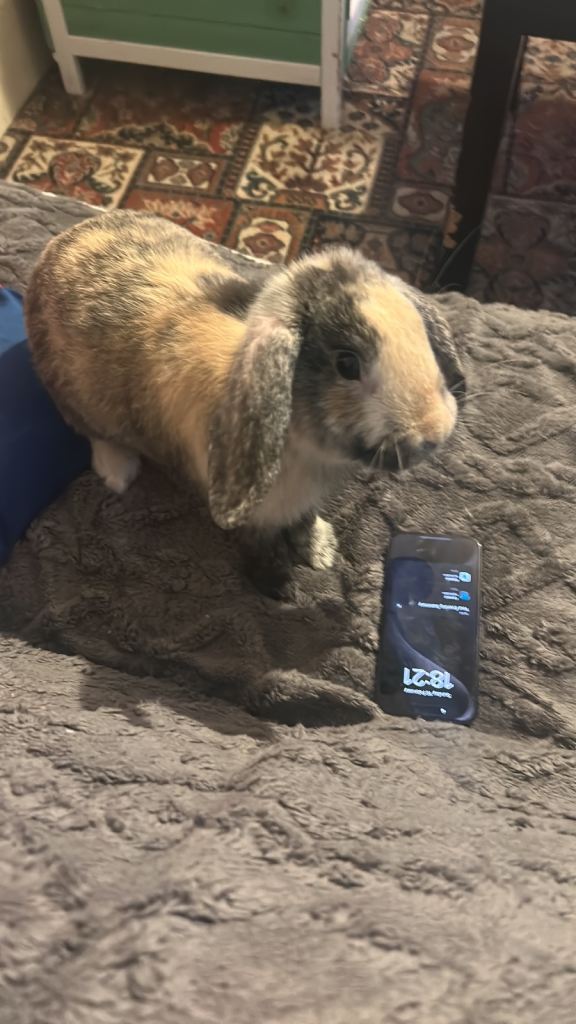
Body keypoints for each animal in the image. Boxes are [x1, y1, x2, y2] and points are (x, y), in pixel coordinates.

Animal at [25, 211, 465, 592]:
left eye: (417, 331)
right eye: (347, 363)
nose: (434, 431)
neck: (306, 444)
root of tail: (55, 247)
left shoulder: (303, 502)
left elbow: (305, 522)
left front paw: (320, 550)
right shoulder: (257, 514)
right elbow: (258, 546)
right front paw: (277, 586)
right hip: (73, 398)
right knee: (93, 433)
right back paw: (119, 472)